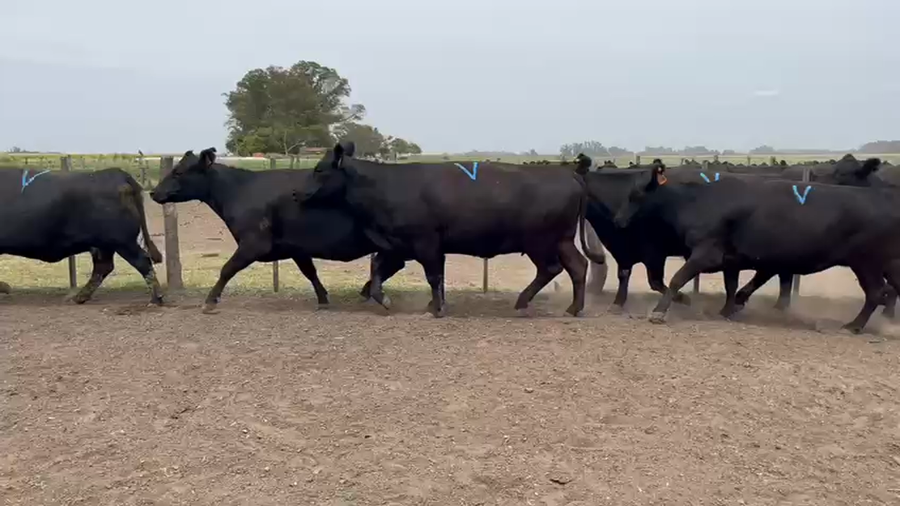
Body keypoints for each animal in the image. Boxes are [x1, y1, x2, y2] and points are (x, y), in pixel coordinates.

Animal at [0, 166, 163, 304]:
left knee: (142, 261)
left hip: (122, 241)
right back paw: (81, 296)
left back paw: (156, 298)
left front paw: (5, 287)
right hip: (103, 245)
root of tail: (114, 173)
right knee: (103, 267)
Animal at [149, 148, 404, 313]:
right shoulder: (296, 247)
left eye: (179, 172)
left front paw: (210, 301)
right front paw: (323, 299)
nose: (153, 192)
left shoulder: (254, 243)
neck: (239, 189)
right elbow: (310, 272)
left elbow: (227, 269)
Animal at [294, 142, 606, 317]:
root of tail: (569, 173)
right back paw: (572, 308)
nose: (296, 193)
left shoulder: (426, 242)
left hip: (539, 241)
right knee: (577, 267)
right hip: (561, 240)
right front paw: (388, 300)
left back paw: (524, 303)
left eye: (319, 169)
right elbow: (377, 273)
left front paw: (437, 308)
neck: (385, 186)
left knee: (551, 269)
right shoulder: (396, 246)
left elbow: (433, 276)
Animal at [613, 166, 900, 333]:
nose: (618, 220)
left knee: (876, 293)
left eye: (636, 195)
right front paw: (726, 310)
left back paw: (853, 326)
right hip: (885, 264)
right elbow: (732, 286)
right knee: (889, 290)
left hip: (866, 262)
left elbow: (677, 278)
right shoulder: (730, 258)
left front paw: (659, 312)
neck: (697, 198)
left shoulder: (707, 252)